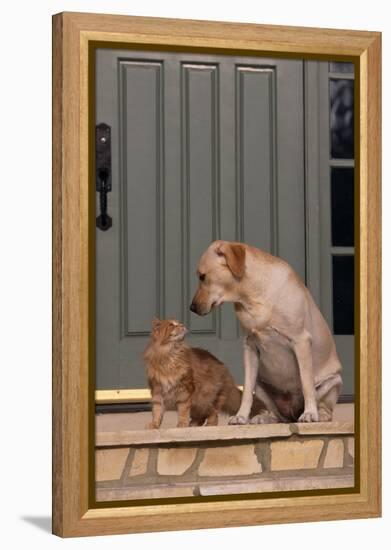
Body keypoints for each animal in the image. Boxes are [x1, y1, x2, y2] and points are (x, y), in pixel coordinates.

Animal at [191, 239, 344, 424]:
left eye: (202, 276)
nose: (191, 308)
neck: (252, 296)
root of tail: (293, 414)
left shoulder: (301, 341)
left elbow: (307, 384)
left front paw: (310, 413)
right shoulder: (250, 347)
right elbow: (246, 392)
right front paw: (241, 416)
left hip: (333, 382)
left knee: (325, 409)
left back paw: (318, 415)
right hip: (261, 386)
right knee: (279, 416)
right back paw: (264, 418)